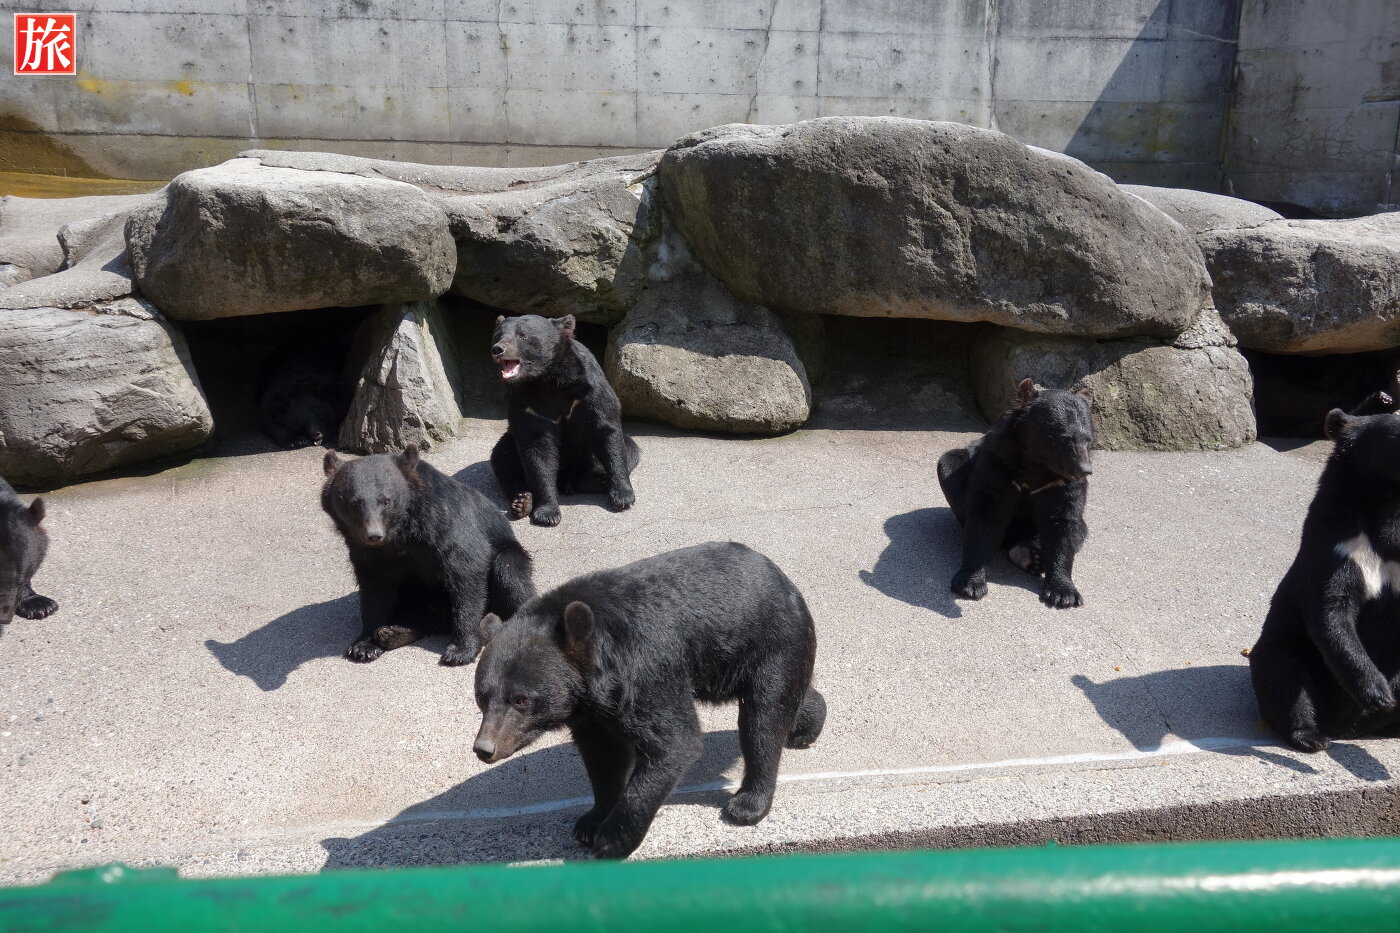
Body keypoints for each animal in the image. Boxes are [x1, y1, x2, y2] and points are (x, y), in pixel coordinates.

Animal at [321, 445, 535, 666]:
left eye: (386, 501)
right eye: (354, 503)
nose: (373, 535)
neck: (400, 534)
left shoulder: (444, 524)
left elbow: (467, 569)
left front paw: (460, 650)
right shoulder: (364, 551)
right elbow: (374, 587)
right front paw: (363, 646)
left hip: (508, 554)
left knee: (509, 575)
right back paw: (394, 633)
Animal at [471, 541, 826, 859]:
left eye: (521, 700)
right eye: (481, 697)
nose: (484, 748)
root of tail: (783, 579)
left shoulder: (644, 669)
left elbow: (672, 743)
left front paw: (611, 839)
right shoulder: (592, 712)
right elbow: (603, 757)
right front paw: (591, 820)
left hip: (771, 641)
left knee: (763, 718)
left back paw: (749, 802)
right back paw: (807, 724)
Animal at [488, 314, 640, 527]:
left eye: (522, 335)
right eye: (498, 334)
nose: (498, 349)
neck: (545, 378)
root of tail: (566, 480)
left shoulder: (588, 387)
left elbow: (606, 429)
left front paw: (623, 496)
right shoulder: (524, 403)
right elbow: (536, 448)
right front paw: (547, 513)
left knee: (629, 447)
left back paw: (598, 481)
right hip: (509, 445)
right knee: (503, 458)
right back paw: (523, 501)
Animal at [937, 377, 1093, 608]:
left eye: (1088, 439)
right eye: (1064, 438)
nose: (1084, 469)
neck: (1036, 465)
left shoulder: (1061, 484)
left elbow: (1063, 522)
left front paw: (1064, 593)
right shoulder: (998, 465)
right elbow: (986, 514)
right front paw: (970, 583)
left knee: (1077, 531)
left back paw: (1031, 556)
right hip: (957, 471)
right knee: (949, 464)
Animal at [1250, 409, 1400, 752]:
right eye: (1395, 437)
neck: (1385, 504)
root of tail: (1341, 725)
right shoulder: (1334, 542)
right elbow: (1331, 607)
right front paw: (1376, 691)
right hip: (1291, 651)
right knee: (1282, 675)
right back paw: (1310, 734)